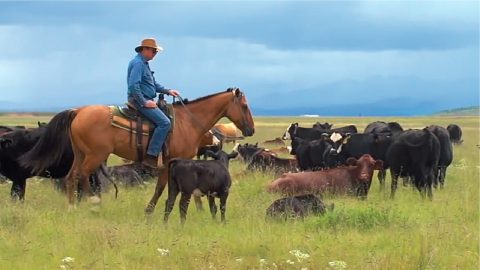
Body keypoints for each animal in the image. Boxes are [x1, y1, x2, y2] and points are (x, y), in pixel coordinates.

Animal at [19, 87, 255, 212]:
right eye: (244, 106)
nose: (251, 129)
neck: (187, 122)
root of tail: (78, 111)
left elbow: (160, 188)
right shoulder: (177, 163)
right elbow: (167, 189)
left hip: (80, 153)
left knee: (71, 176)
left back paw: (72, 207)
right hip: (95, 155)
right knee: (83, 175)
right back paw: (94, 204)